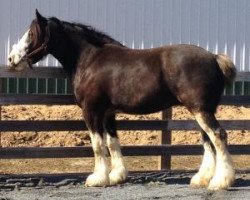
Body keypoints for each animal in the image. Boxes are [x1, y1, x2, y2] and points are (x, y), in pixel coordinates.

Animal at [6, 9, 235, 191]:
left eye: (32, 34)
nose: (11, 59)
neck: (90, 59)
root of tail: (214, 57)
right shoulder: (108, 113)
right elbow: (112, 143)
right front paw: (117, 176)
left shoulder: (91, 111)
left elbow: (98, 145)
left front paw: (98, 178)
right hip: (201, 110)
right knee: (208, 141)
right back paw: (202, 179)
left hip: (201, 110)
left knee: (218, 136)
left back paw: (220, 182)